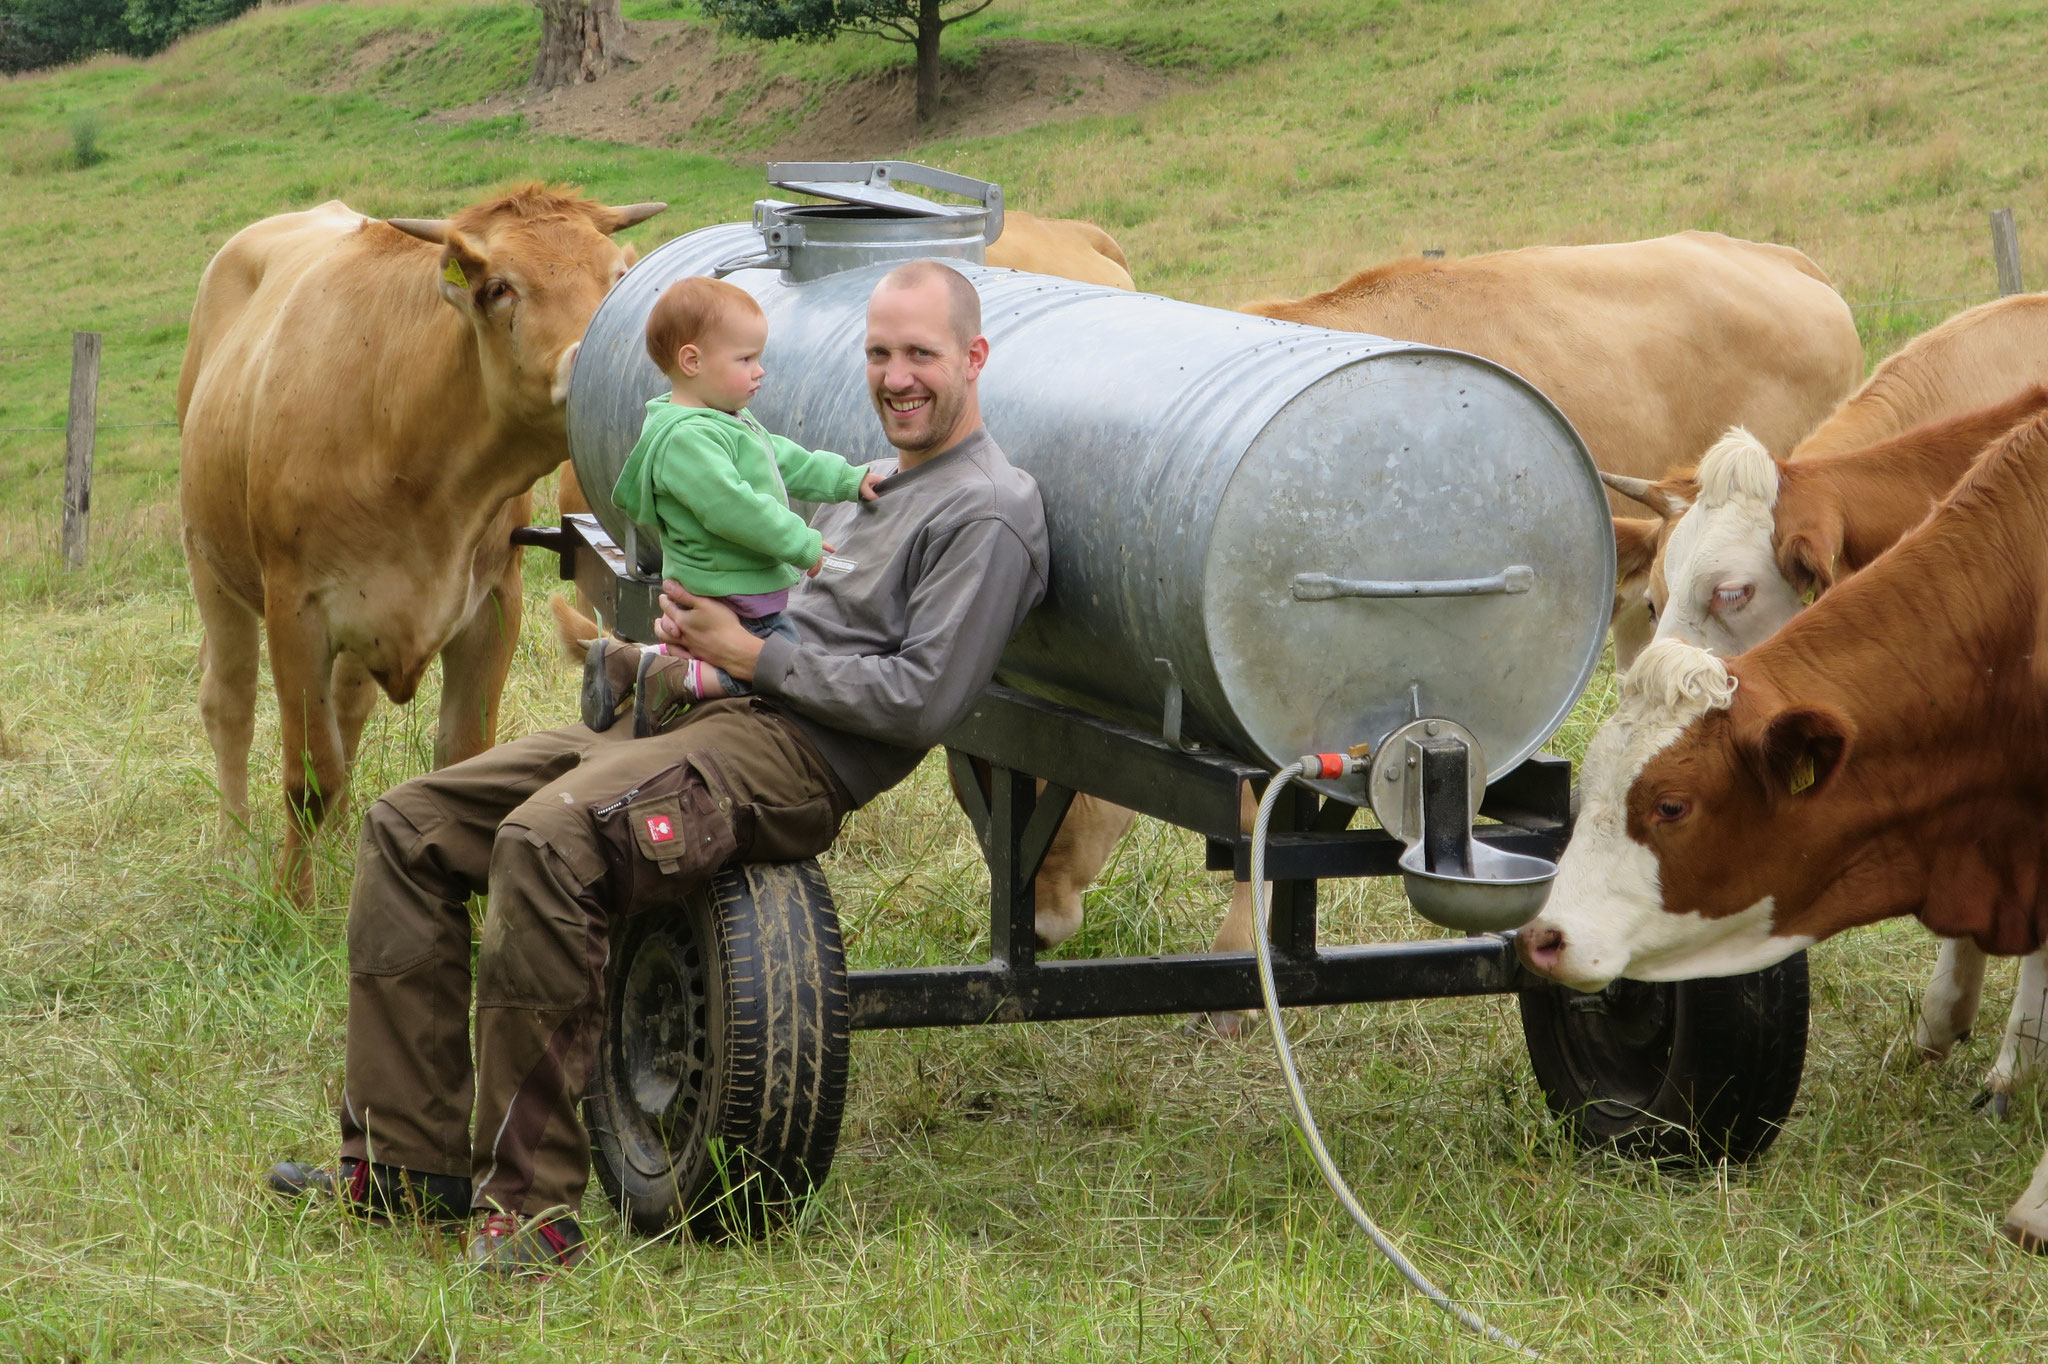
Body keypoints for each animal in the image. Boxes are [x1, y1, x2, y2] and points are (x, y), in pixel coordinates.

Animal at [180, 183, 663, 901]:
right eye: (499, 288)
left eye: (618, 278)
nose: (591, 368)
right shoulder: (295, 611)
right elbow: (308, 775)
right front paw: (294, 903)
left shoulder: (493, 605)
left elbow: (459, 760)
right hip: (209, 563)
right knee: (229, 702)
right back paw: (232, 851)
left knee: (347, 709)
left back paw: (343, 843)